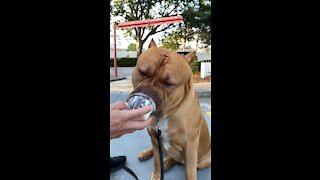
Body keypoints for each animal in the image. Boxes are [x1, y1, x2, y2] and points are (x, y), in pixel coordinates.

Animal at [131, 39, 211, 180]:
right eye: (142, 72)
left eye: (169, 84)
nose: (147, 93)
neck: (167, 115)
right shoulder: (154, 137)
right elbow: (156, 160)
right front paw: (157, 174)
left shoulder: (190, 146)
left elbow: (189, 172)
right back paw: (147, 154)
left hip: (201, 160)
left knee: (178, 159)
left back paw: (167, 162)